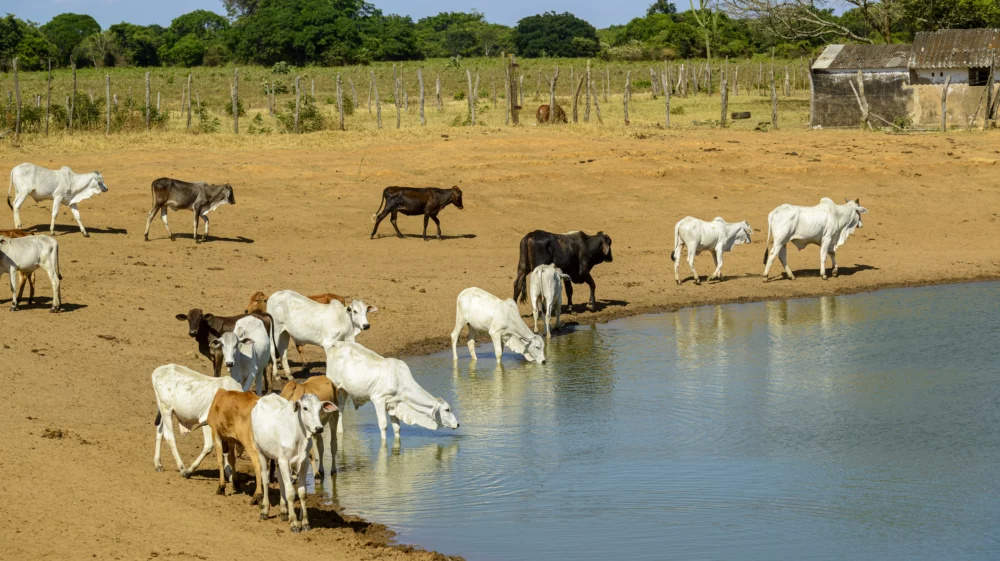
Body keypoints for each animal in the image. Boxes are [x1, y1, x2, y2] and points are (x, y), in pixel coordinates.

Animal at [253, 393, 336, 532]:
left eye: (320, 409)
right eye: (305, 408)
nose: (319, 428)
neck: (299, 436)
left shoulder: (303, 462)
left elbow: (302, 492)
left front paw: (305, 522)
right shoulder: (284, 461)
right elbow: (291, 492)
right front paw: (294, 523)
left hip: (277, 459)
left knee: (281, 480)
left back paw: (283, 511)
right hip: (261, 451)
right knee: (265, 478)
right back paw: (265, 510)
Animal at [326, 342, 459, 440]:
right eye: (447, 409)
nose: (457, 424)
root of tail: (336, 344)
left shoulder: (393, 404)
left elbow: (397, 428)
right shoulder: (378, 399)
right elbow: (383, 425)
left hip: (343, 391)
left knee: (340, 411)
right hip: (334, 386)